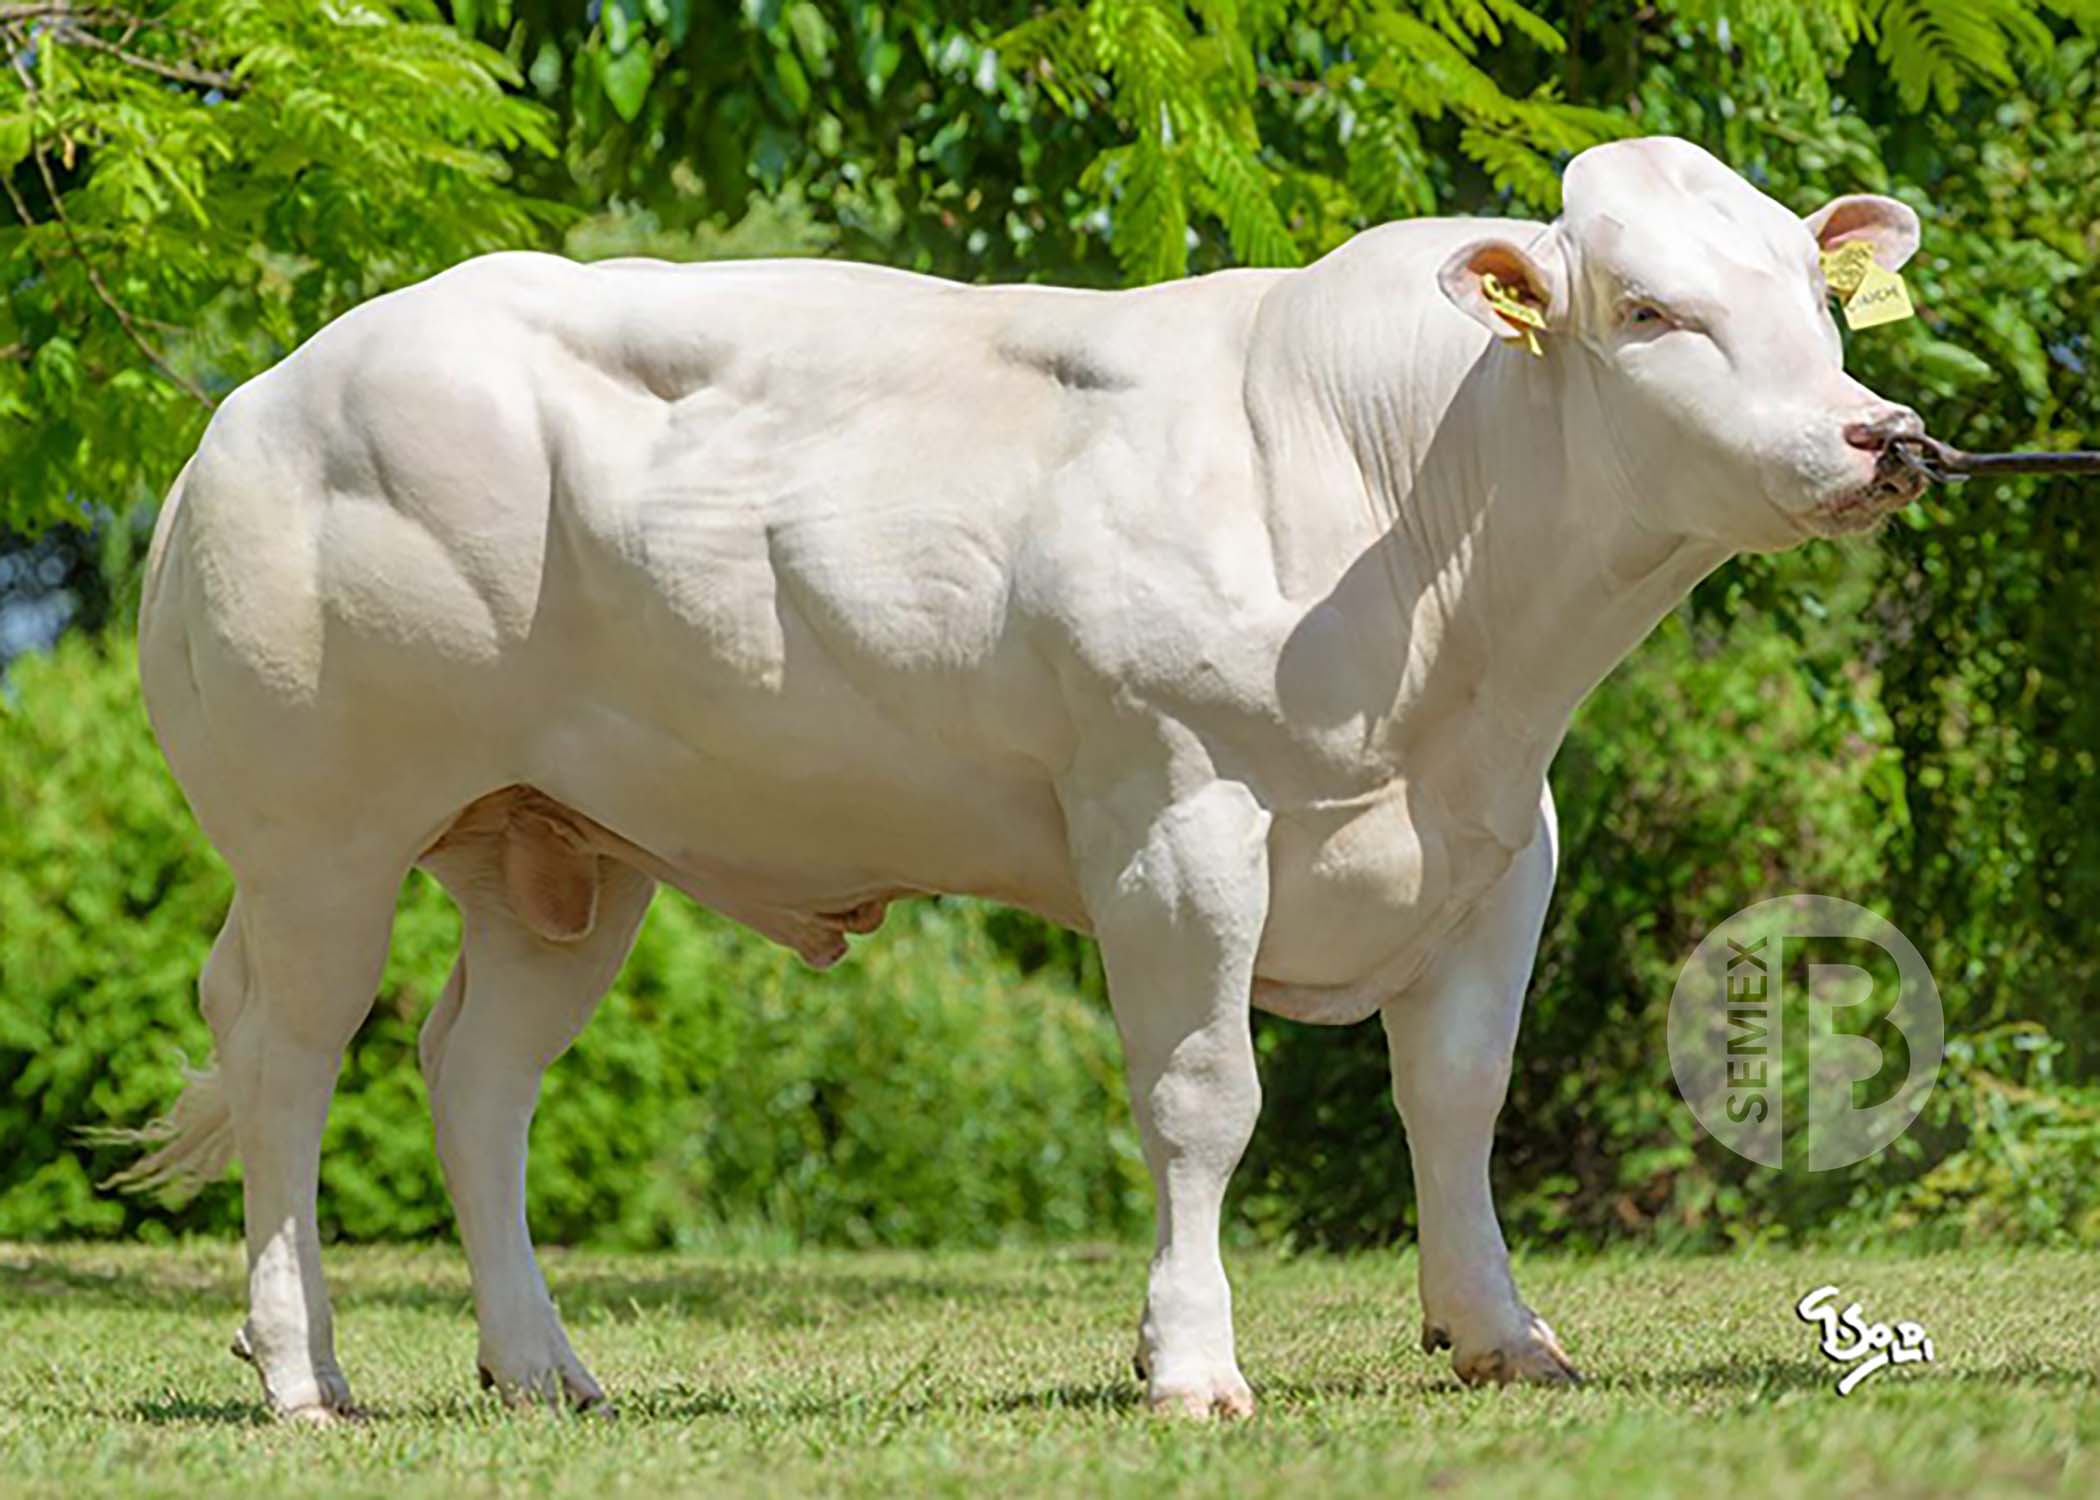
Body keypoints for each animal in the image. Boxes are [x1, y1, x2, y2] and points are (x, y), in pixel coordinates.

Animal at [120, 136, 1927, 1421]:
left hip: (560, 853)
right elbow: (1206, 1098)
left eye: (1817, 295)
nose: (1881, 435)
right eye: (1653, 312)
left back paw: (543, 1368)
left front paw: (1502, 1332)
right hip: (321, 833)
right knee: (287, 1064)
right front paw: (1191, 1365)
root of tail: (261, 398)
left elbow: (1458, 1093)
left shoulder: (1500, 835)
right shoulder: (1174, 816)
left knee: (475, 1073)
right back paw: (303, 1376)